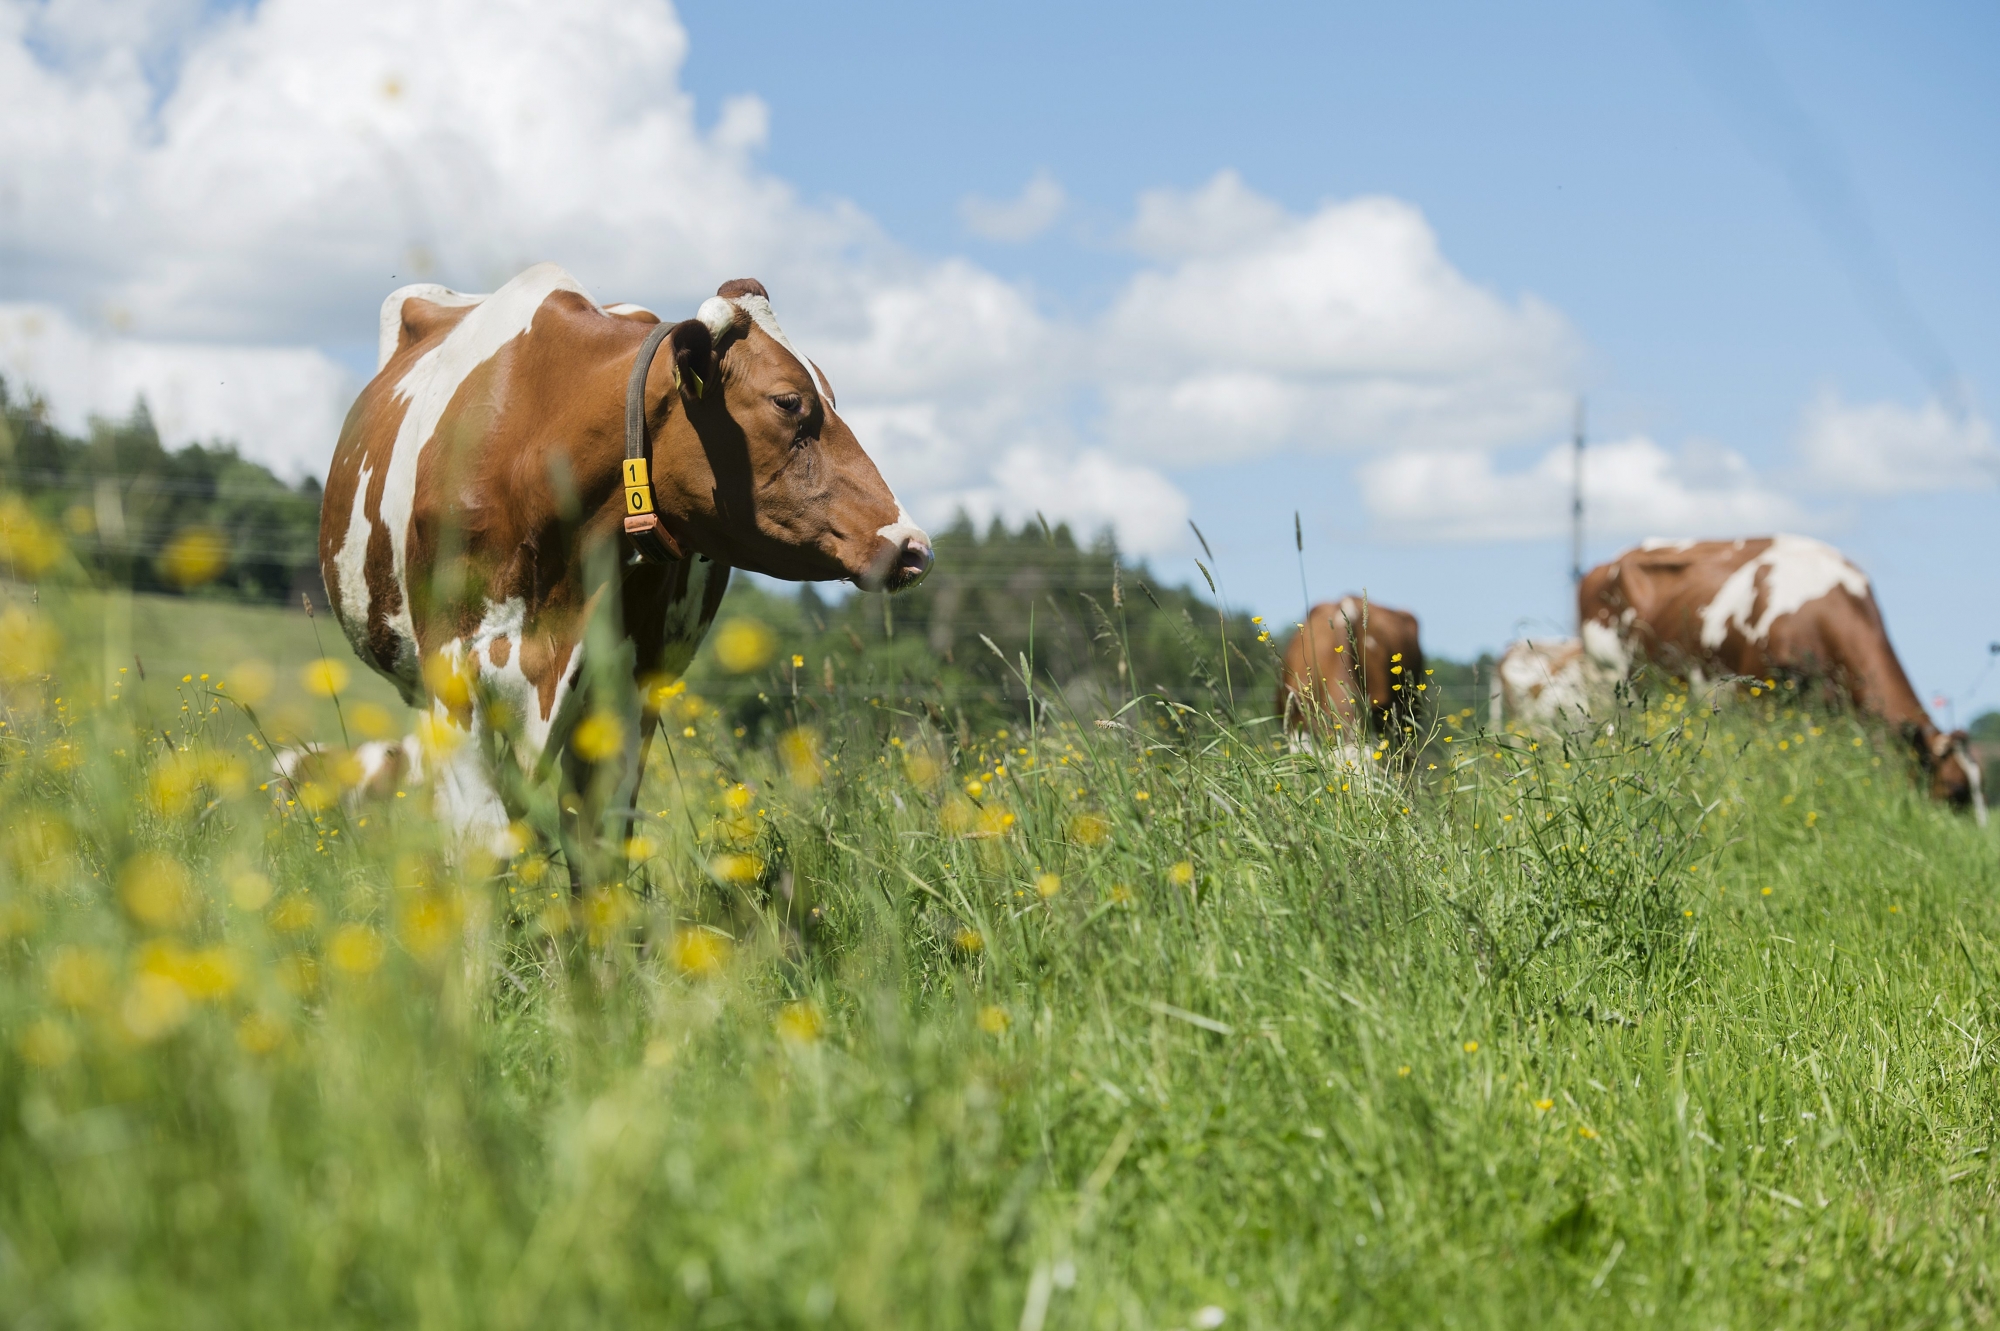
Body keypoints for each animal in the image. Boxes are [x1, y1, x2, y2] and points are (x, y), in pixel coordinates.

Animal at [318, 263, 928, 855]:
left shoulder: (624, 689)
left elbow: (598, 846)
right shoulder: (451, 674)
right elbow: (482, 843)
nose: (914, 546)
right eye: (787, 401)